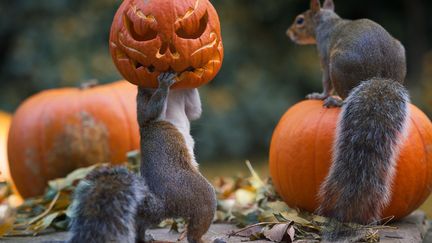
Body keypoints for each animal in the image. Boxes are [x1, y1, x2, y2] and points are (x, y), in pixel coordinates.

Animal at [67, 72, 216, 243]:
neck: (173, 94)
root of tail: (164, 203)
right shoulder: (143, 102)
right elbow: (149, 113)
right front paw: (163, 84)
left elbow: (194, 110)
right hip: (197, 193)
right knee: (195, 230)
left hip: (155, 215)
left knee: (142, 223)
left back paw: (145, 237)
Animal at [288, 0, 410, 236]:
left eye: (300, 20)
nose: (289, 33)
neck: (328, 22)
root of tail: (380, 76)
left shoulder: (324, 55)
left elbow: (325, 82)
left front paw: (320, 95)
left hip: (338, 64)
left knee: (342, 93)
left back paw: (336, 101)